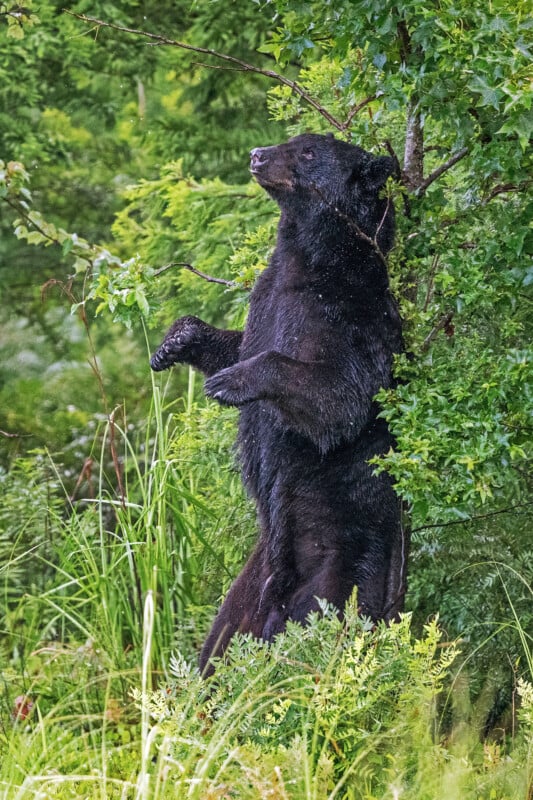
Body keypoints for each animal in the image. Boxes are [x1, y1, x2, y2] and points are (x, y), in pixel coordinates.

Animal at [150, 133, 407, 674]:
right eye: (293, 139)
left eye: (308, 152)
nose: (257, 155)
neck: (312, 255)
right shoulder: (267, 298)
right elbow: (238, 340)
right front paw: (176, 341)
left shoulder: (347, 313)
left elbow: (339, 395)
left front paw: (230, 383)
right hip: (250, 582)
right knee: (222, 636)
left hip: (336, 557)